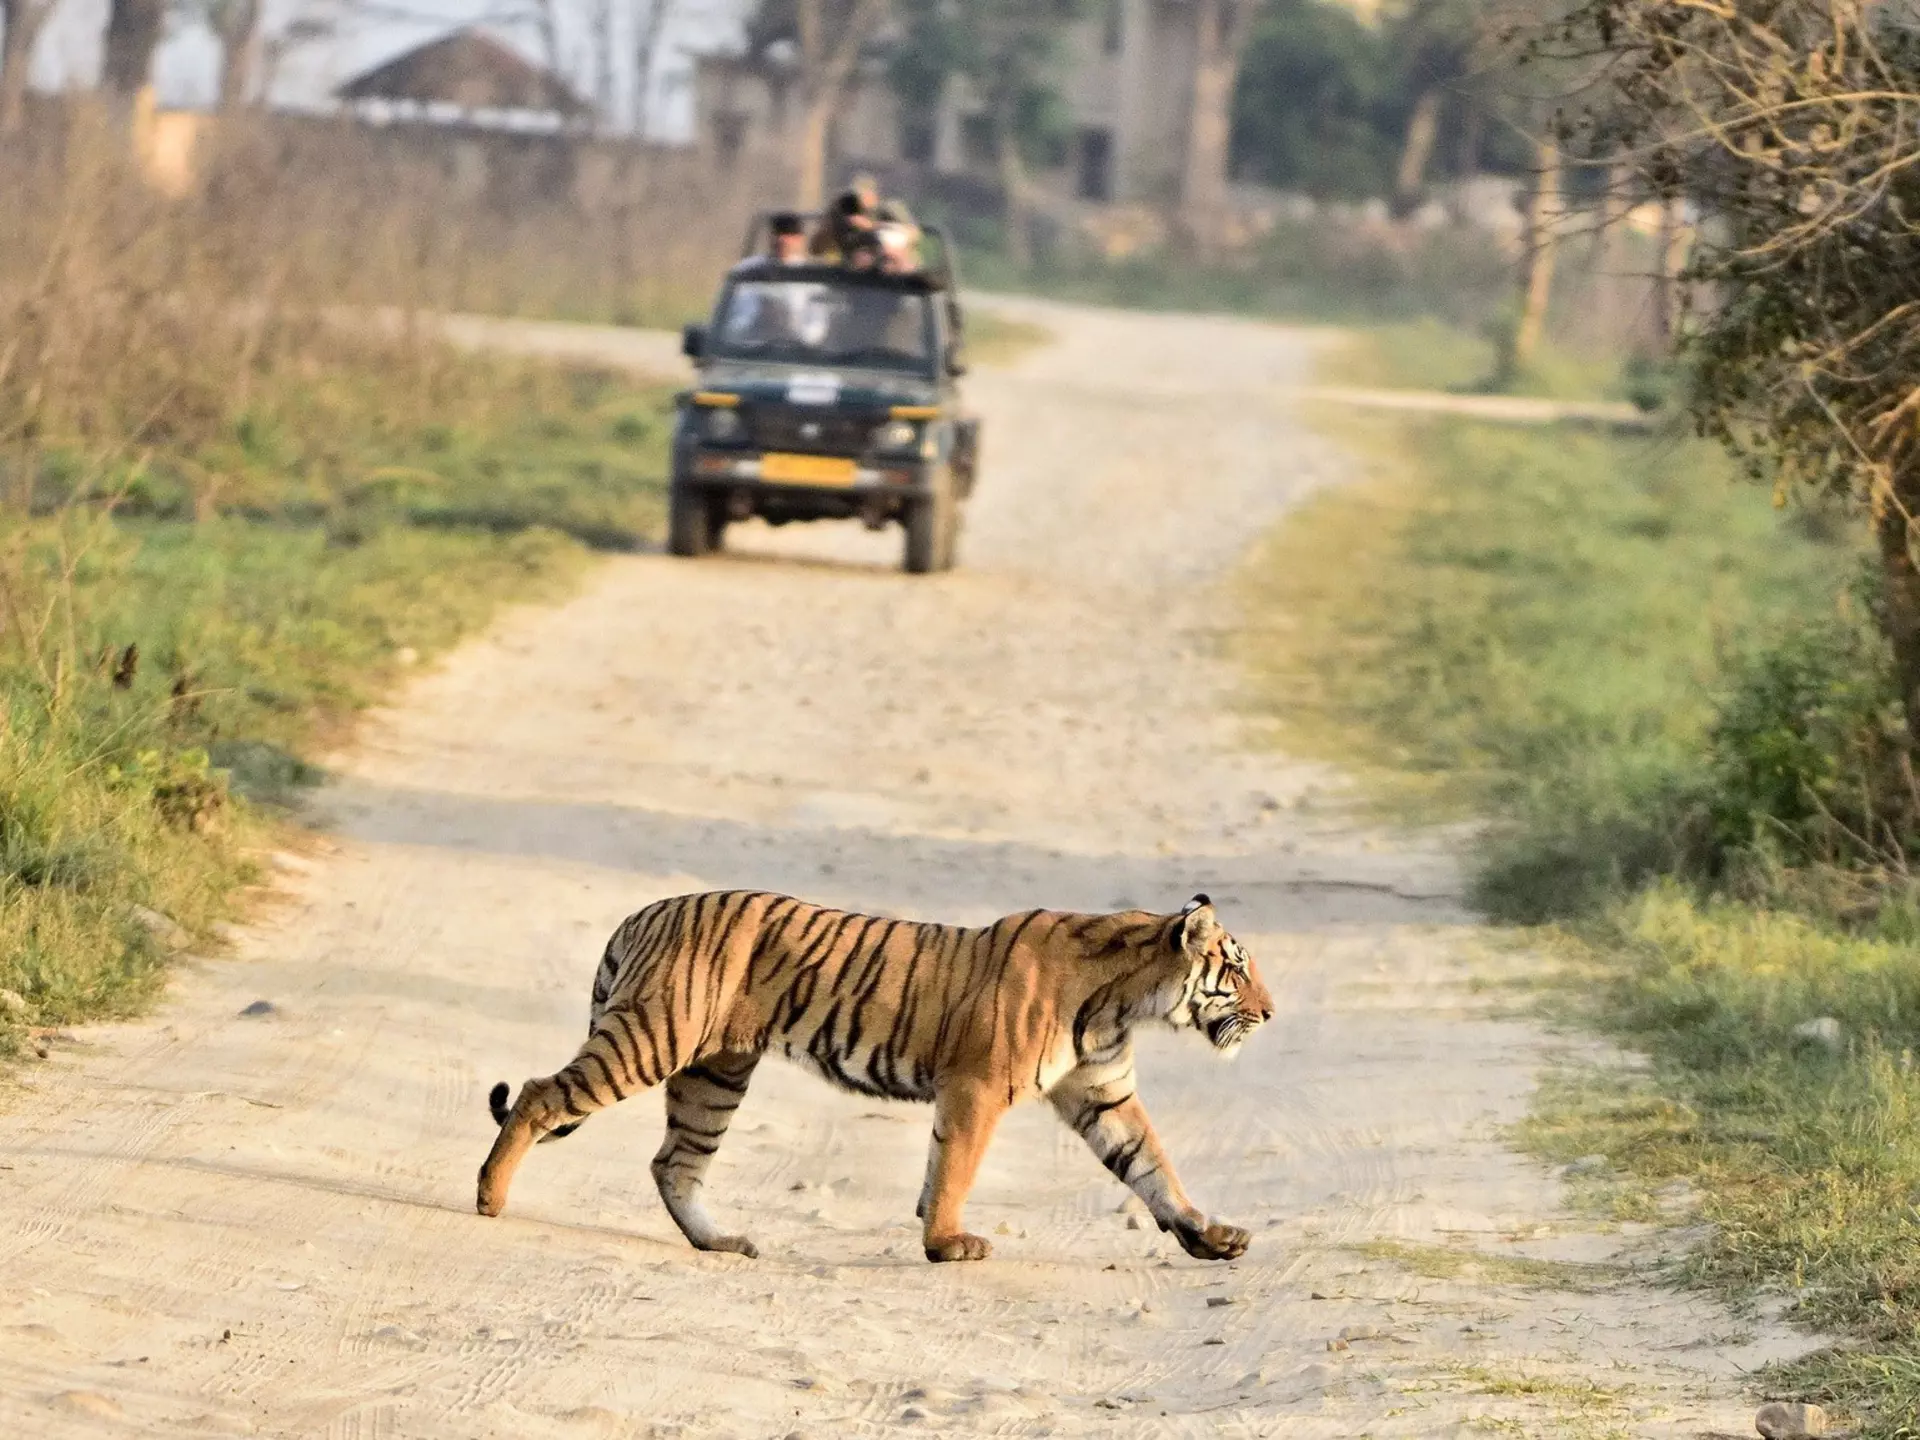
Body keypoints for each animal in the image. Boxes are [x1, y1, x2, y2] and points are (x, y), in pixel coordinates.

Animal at [477, 890, 1273, 1264]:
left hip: (714, 1072)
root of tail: (644, 911)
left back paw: (722, 1242)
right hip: (653, 1037)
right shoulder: (976, 1087)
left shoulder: (1104, 1095)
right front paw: (947, 1244)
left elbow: (1153, 1168)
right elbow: (954, 1167)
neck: (1128, 999)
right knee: (539, 1095)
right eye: (1236, 970)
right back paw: (490, 1198)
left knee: (674, 1162)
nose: (1270, 1012)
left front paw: (1211, 1236)